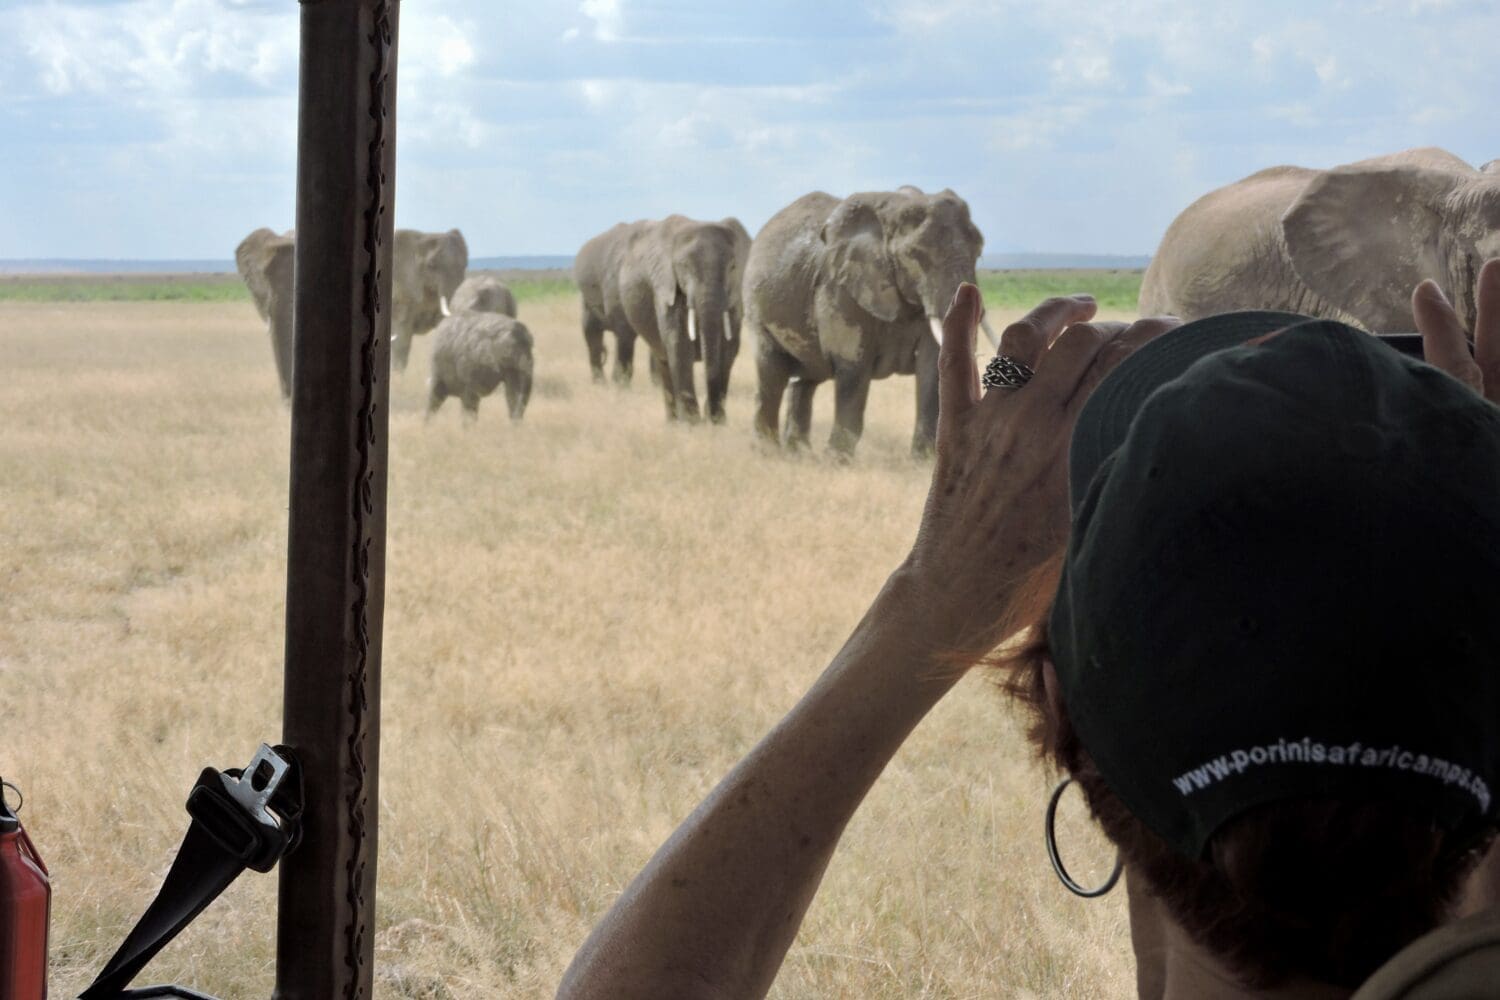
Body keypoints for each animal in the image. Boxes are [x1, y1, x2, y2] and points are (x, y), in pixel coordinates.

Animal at [573, 215, 750, 422]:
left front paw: (717, 424)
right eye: (684, 267)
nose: (710, 417)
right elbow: (679, 346)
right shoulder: (665, 286)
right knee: (601, 336)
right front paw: (693, 425)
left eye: (733, 267)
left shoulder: (735, 296)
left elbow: (730, 349)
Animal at [744, 187, 990, 458]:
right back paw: (767, 450)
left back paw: (798, 452)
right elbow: (853, 367)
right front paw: (836, 460)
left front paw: (922, 460)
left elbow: (932, 365)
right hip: (756, 309)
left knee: (805, 379)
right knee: (771, 374)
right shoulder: (838, 287)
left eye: (979, 251)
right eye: (916, 255)